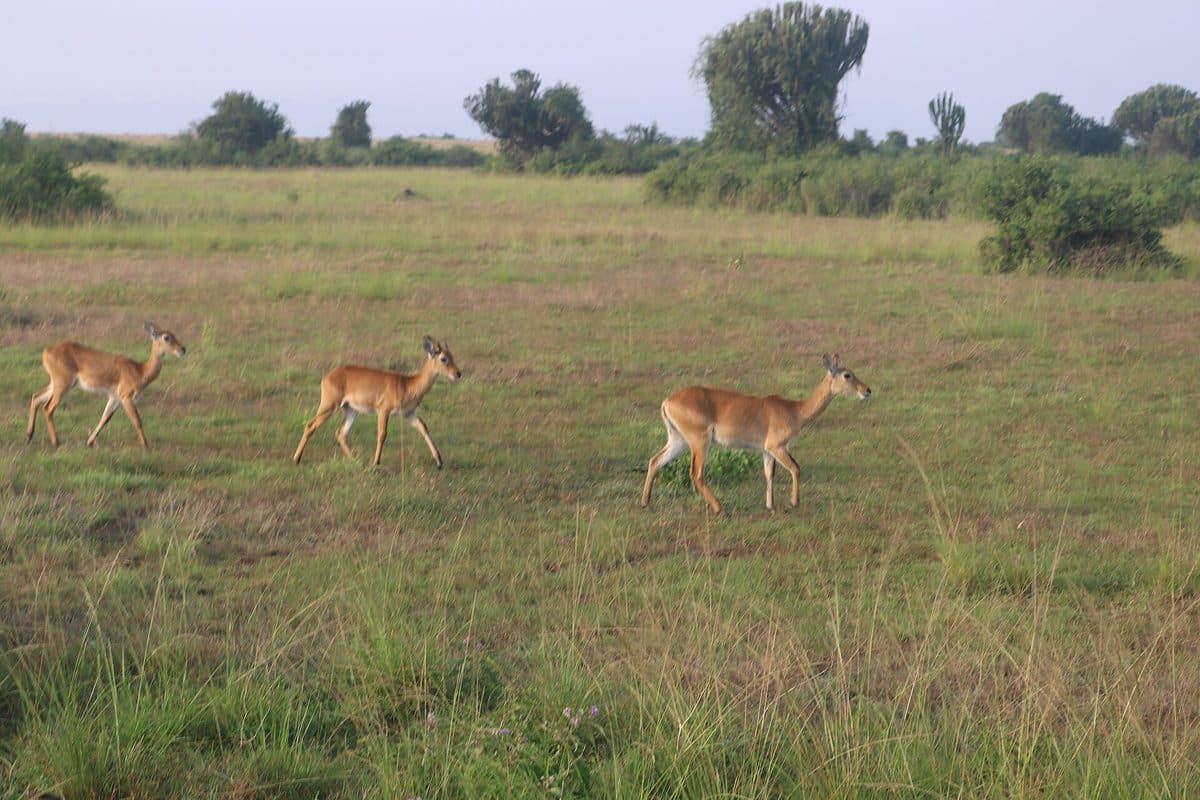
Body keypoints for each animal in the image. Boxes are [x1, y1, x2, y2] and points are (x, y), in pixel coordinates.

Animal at [26, 322, 187, 449]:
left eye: (174, 334)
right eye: (166, 337)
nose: (183, 349)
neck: (140, 370)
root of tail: (46, 351)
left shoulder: (114, 398)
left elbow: (104, 419)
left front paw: (89, 442)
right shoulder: (126, 398)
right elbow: (137, 421)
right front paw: (146, 446)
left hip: (56, 384)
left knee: (36, 397)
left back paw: (29, 436)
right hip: (62, 385)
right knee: (48, 408)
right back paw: (56, 442)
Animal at [292, 336, 461, 468]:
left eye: (452, 355)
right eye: (443, 358)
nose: (458, 374)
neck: (407, 384)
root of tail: (327, 376)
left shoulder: (409, 414)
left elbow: (424, 428)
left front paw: (439, 462)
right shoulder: (383, 410)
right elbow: (382, 434)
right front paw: (376, 462)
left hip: (351, 410)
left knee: (341, 433)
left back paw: (357, 460)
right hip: (329, 406)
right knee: (310, 425)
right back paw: (296, 459)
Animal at [641, 353, 871, 515]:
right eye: (847, 374)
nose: (867, 390)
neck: (795, 410)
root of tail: (667, 401)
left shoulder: (766, 451)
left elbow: (769, 474)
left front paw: (771, 507)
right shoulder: (776, 447)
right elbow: (795, 468)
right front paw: (793, 503)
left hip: (678, 440)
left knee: (655, 460)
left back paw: (646, 503)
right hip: (700, 441)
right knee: (696, 473)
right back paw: (720, 509)